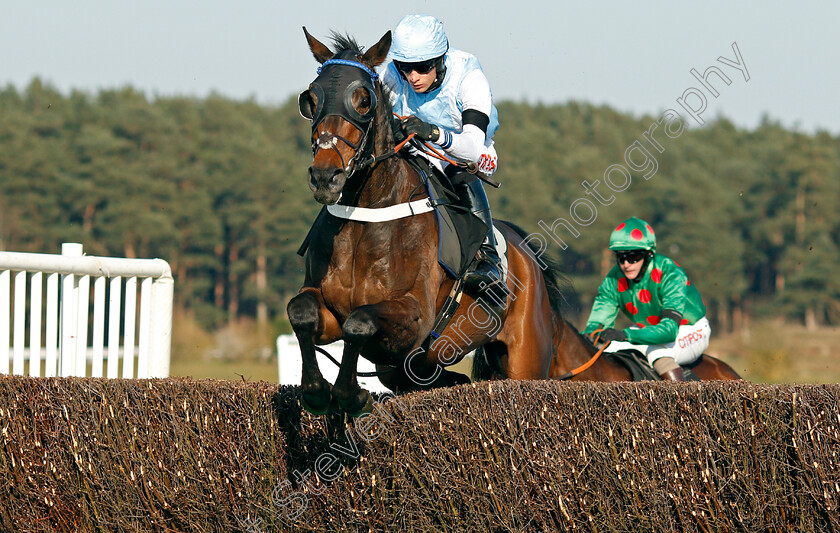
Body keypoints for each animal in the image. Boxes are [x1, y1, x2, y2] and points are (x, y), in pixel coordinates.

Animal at [286, 27, 568, 414]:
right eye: (311, 99)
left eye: (363, 100)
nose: (325, 177)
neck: (365, 218)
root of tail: (527, 255)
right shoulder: (331, 311)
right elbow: (301, 311)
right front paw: (315, 391)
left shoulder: (415, 315)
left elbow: (359, 323)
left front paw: (352, 395)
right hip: (412, 365)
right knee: (451, 380)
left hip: (526, 357)